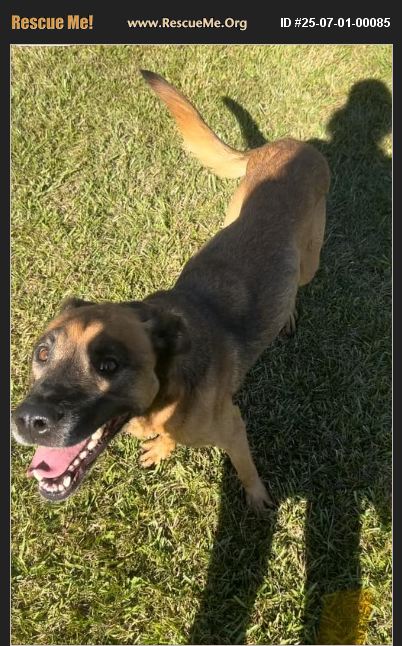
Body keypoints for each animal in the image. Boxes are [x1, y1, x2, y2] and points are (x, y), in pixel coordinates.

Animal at [11, 71, 330, 510]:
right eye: (42, 354)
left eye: (108, 364)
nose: (27, 420)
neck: (165, 390)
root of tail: (293, 143)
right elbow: (168, 437)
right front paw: (163, 449)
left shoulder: (233, 428)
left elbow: (247, 471)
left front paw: (259, 502)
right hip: (232, 212)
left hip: (309, 261)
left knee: (299, 282)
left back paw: (289, 315)